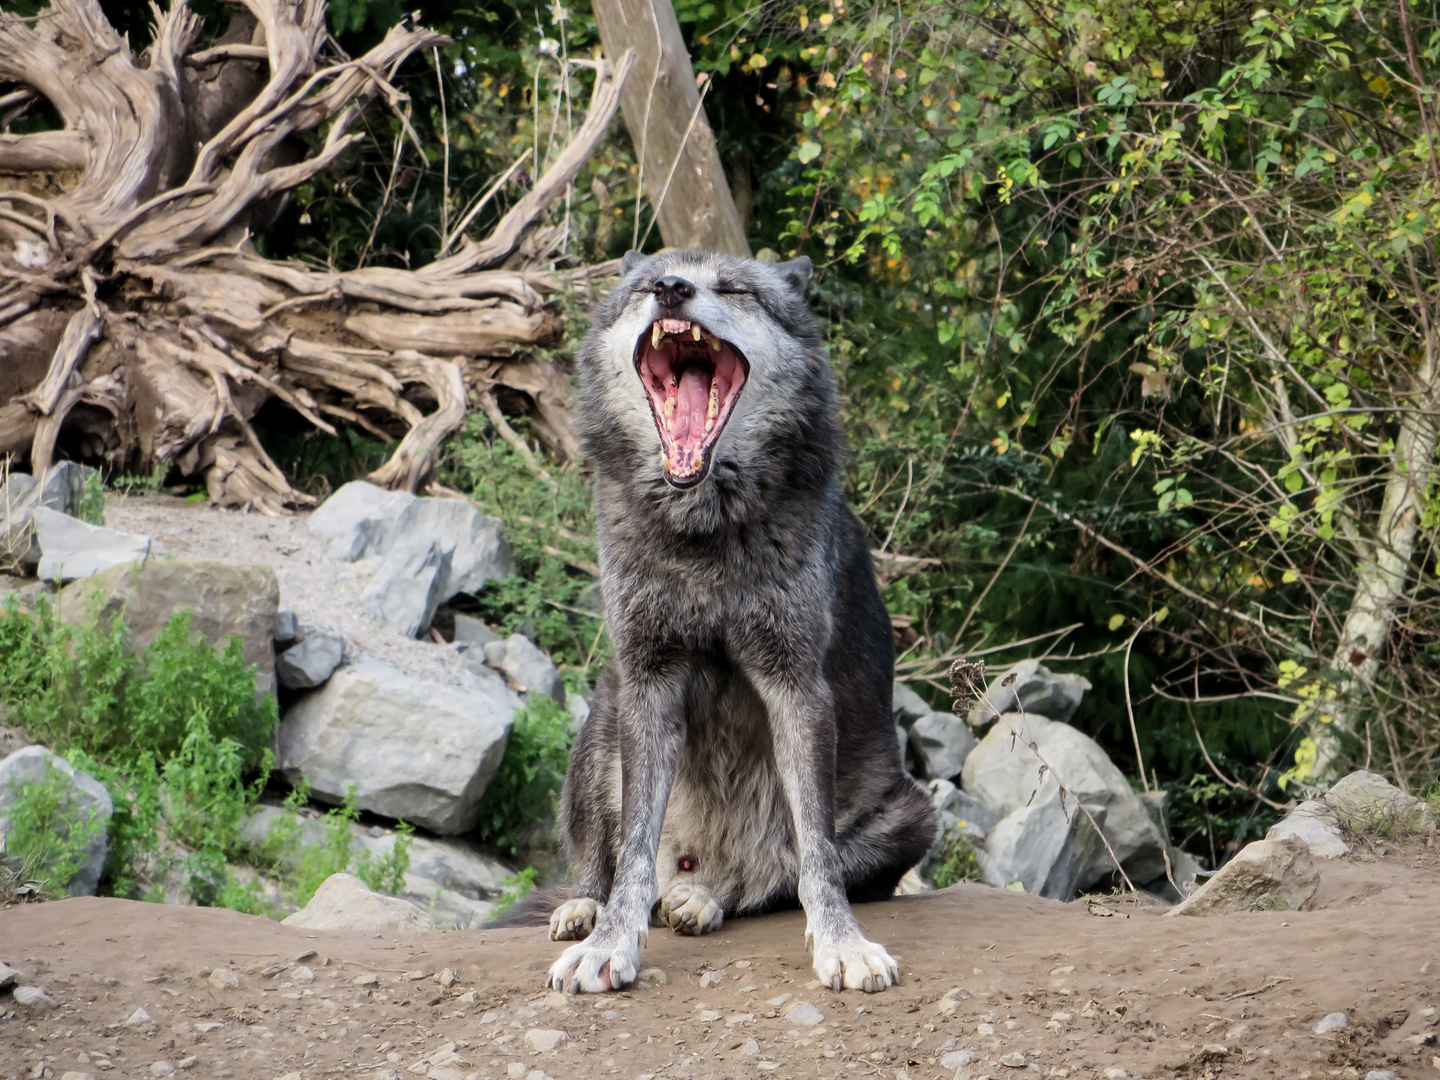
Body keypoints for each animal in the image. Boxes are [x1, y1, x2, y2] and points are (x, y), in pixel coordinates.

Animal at [541, 249, 933, 996]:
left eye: (734, 288)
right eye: (648, 284)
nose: (671, 290)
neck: (704, 533)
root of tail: (696, 863)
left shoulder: (796, 687)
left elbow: (816, 854)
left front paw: (842, 944)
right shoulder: (649, 680)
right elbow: (633, 847)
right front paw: (610, 944)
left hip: (913, 817)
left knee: (771, 877)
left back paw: (704, 898)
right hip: (604, 711)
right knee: (603, 855)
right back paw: (586, 906)